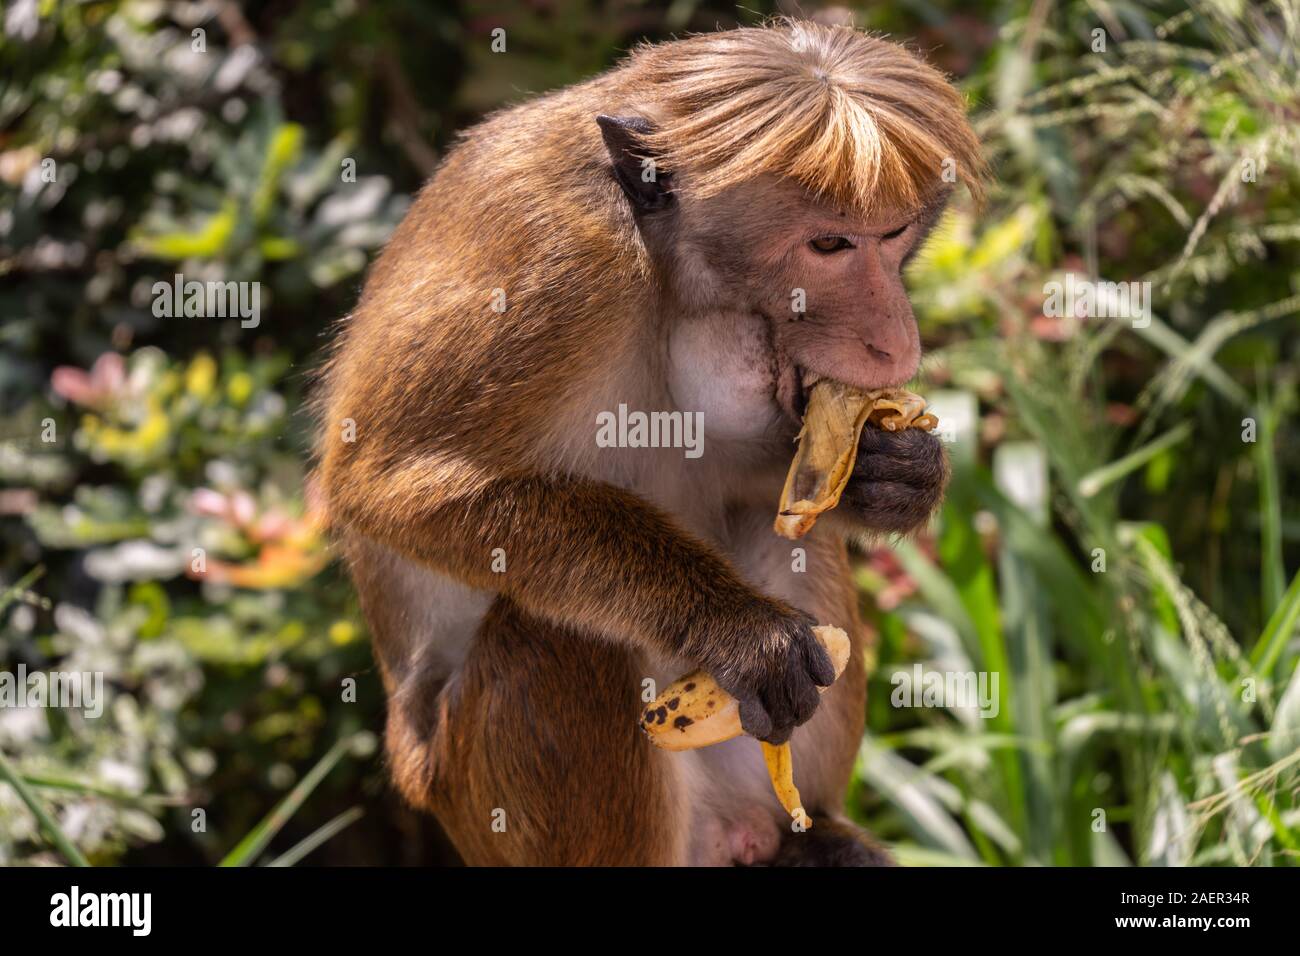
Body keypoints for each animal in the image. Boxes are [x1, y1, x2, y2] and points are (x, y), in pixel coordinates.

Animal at [317, 18, 982, 868]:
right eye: (831, 245)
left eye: (895, 235)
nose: (896, 342)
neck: (668, 274)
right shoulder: (554, 263)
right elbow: (384, 483)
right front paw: (737, 628)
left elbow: (753, 487)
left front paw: (896, 475)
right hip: (480, 795)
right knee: (552, 634)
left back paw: (815, 839)